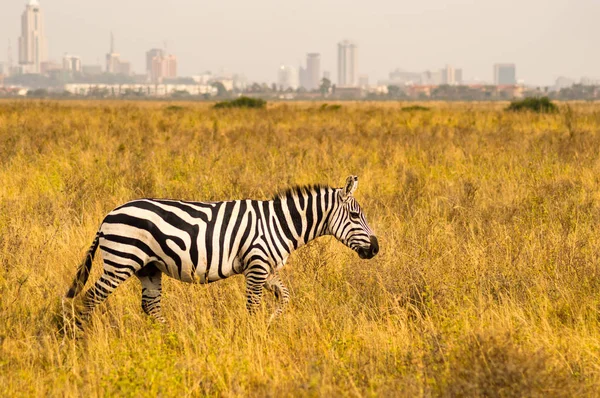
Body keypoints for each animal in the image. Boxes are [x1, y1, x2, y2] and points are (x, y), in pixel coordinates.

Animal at [64, 176, 376, 324]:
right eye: (355, 216)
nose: (375, 248)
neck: (280, 224)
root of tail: (107, 216)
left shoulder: (266, 268)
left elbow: (285, 296)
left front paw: (271, 324)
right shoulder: (256, 265)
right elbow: (253, 305)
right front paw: (254, 335)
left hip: (148, 268)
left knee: (151, 306)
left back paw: (171, 338)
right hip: (122, 261)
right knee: (90, 298)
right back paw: (83, 339)